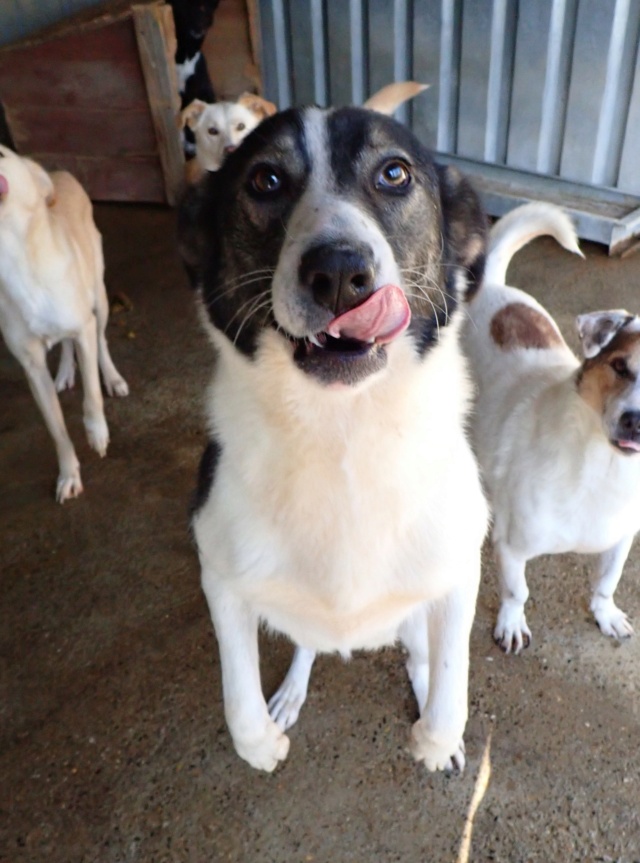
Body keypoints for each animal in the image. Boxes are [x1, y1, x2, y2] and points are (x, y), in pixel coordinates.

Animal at [0, 146, 129, 502]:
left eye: (1, 153)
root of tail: (60, 173)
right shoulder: (31, 367)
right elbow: (56, 429)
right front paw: (69, 474)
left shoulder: (84, 326)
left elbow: (92, 394)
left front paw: (97, 432)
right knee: (66, 345)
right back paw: (65, 372)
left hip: (99, 298)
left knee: (101, 342)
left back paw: (112, 377)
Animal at [181, 104, 490, 772]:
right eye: (265, 179)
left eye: (394, 173)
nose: (341, 273)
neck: (342, 429)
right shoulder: (220, 573)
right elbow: (238, 699)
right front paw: (261, 742)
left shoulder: (459, 567)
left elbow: (451, 685)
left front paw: (437, 740)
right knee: (305, 647)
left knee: (419, 650)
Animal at [462, 202, 640, 652]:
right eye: (619, 366)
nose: (635, 422)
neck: (604, 469)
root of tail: (493, 287)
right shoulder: (512, 547)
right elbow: (517, 591)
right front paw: (511, 624)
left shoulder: (621, 540)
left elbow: (607, 582)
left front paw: (606, 614)